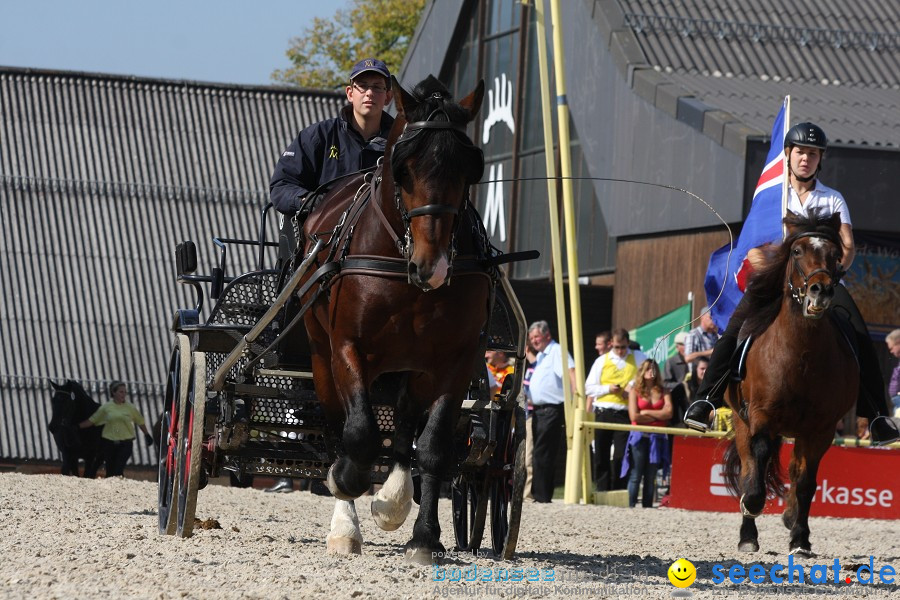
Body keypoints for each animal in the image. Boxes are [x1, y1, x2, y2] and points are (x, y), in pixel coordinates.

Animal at [298, 76, 488, 564]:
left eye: (468, 170)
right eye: (403, 169)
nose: (432, 266)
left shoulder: (456, 359)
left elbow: (434, 447)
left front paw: (423, 536)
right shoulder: (348, 348)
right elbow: (360, 434)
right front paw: (344, 483)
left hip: (411, 365)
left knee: (404, 422)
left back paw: (396, 498)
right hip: (320, 354)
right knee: (337, 426)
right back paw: (346, 517)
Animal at [720, 209, 856, 556]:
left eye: (835, 255)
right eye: (796, 251)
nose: (820, 290)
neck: (800, 355)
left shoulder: (821, 429)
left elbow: (806, 483)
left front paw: (800, 538)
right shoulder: (761, 416)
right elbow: (757, 465)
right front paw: (752, 505)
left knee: (795, 472)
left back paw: (791, 517)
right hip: (741, 420)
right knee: (749, 466)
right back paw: (748, 535)